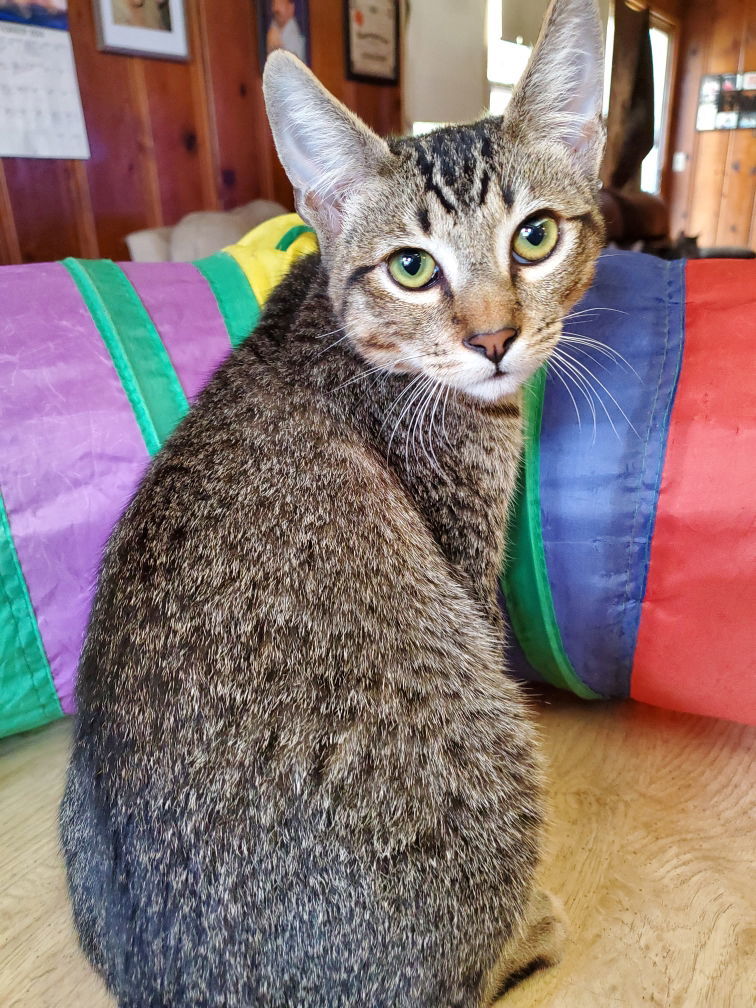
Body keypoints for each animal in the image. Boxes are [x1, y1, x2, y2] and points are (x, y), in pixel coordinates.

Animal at [57, 0, 604, 999]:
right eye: (413, 268)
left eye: (535, 237)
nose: (495, 338)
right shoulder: (466, 565)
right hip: (488, 733)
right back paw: (526, 931)